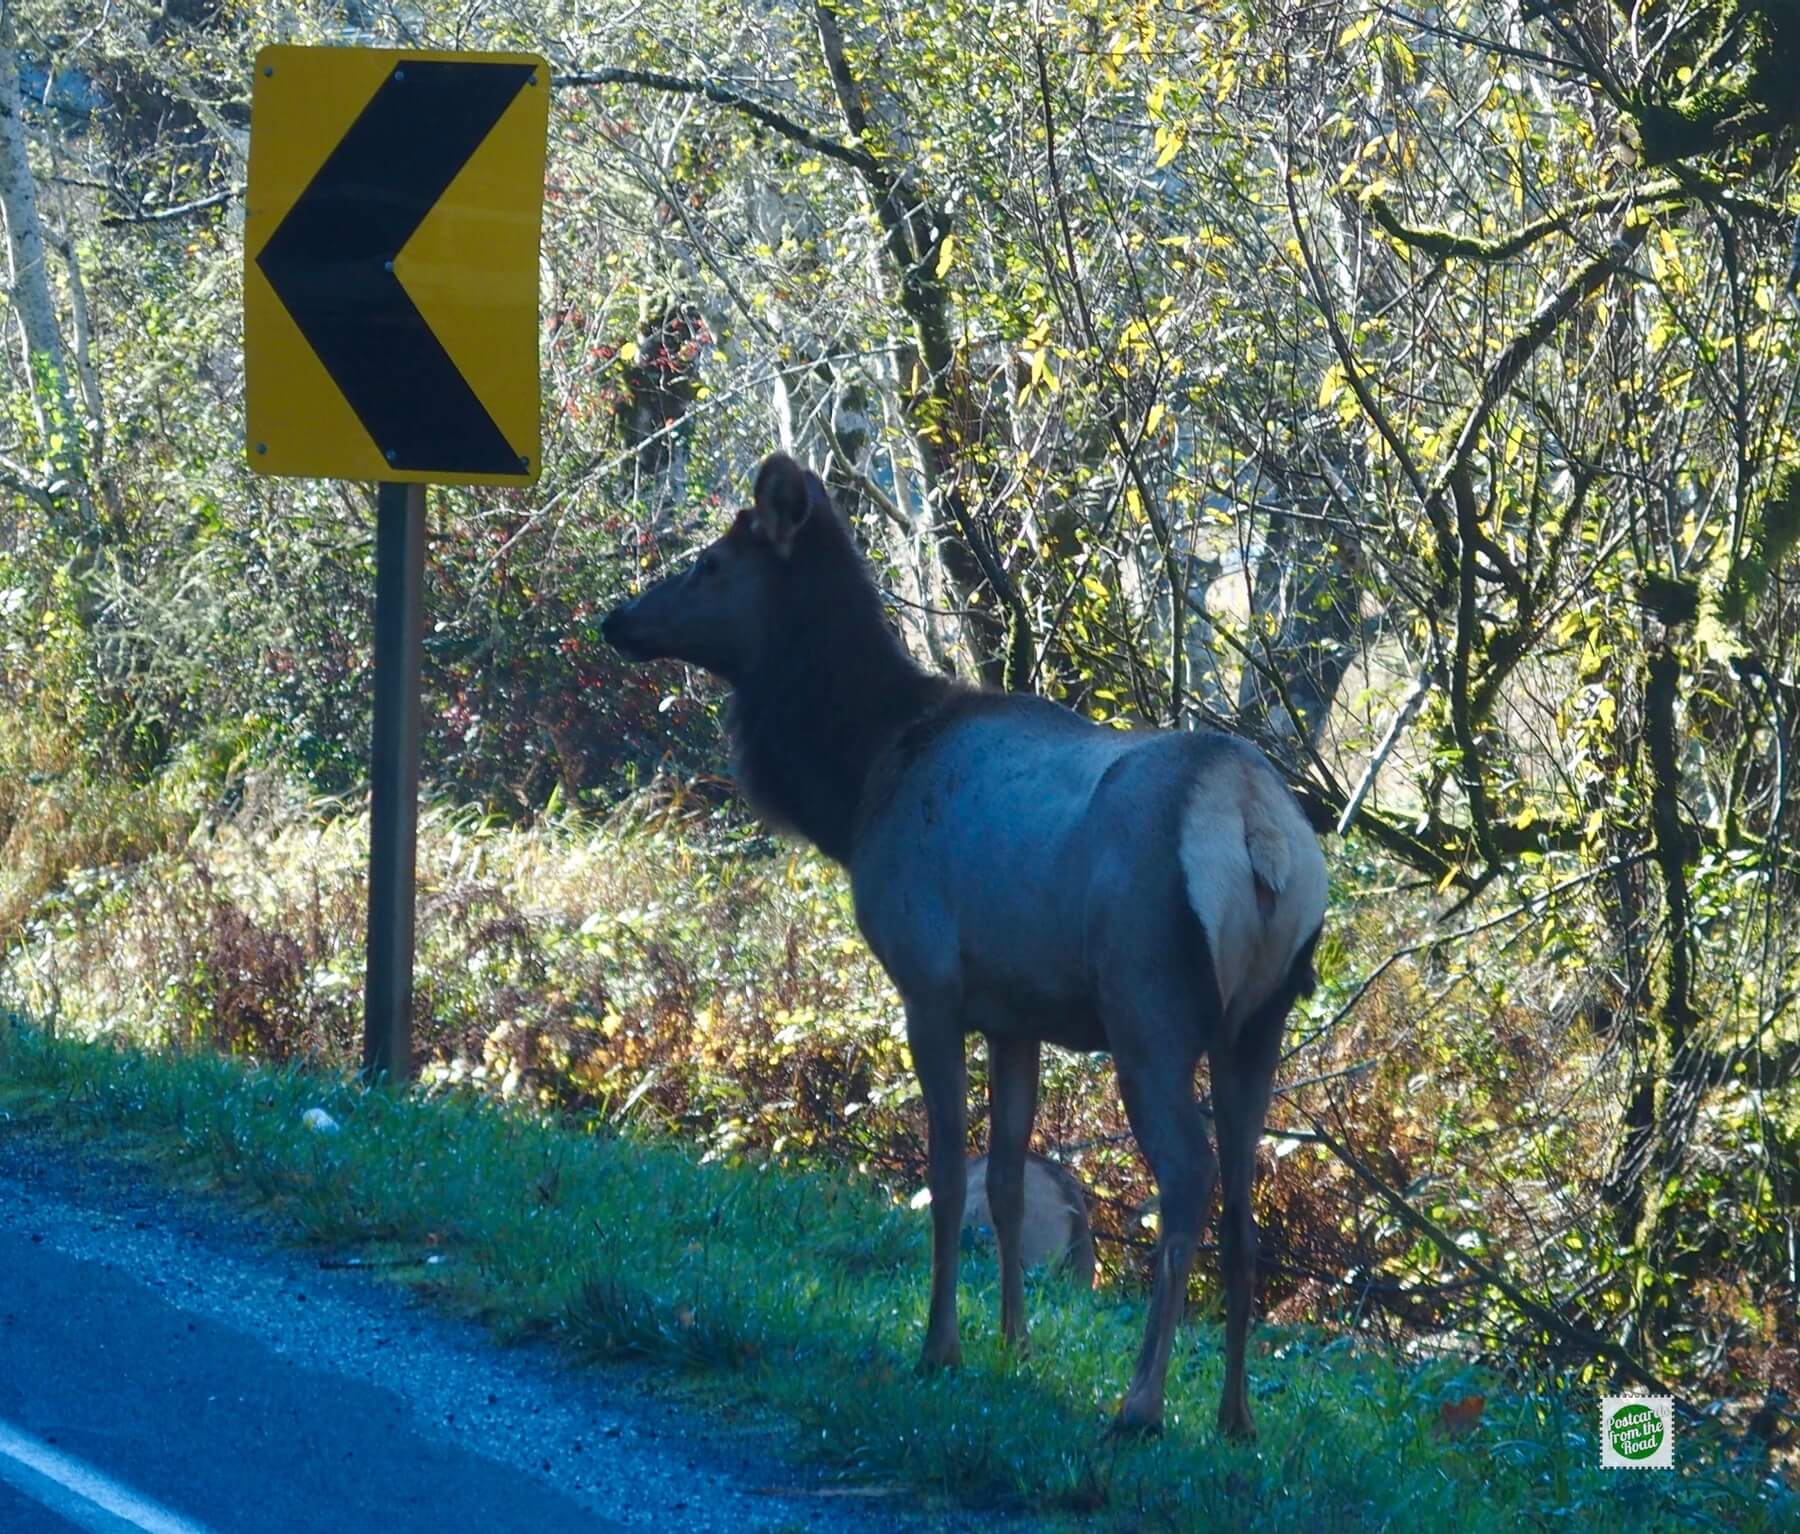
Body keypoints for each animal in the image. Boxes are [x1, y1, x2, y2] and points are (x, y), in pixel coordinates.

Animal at [612, 455, 1332, 1440]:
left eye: (713, 563)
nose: (619, 618)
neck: (860, 782)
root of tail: (1262, 836)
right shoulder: (1015, 1012)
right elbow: (1009, 1182)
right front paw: (1014, 1346)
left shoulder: (929, 982)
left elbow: (949, 1177)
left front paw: (940, 1347)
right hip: (1258, 1024)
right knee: (1244, 1202)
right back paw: (1234, 1416)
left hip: (1148, 1002)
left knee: (1187, 1177)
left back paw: (1141, 1403)